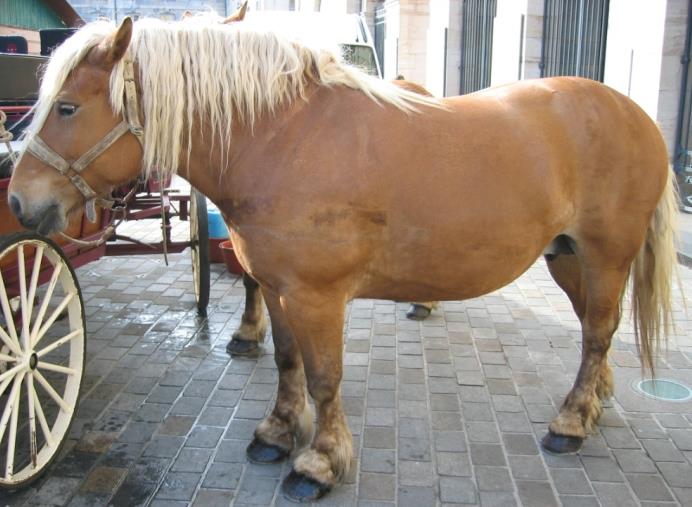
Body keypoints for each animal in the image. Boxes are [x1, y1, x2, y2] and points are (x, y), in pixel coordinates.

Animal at [8, 17, 678, 502]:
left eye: (67, 107)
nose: (19, 202)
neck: (281, 139)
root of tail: (634, 114)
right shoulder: (274, 287)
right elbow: (286, 362)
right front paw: (277, 434)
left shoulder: (317, 296)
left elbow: (325, 378)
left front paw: (320, 464)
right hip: (568, 258)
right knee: (595, 330)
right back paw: (594, 402)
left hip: (606, 255)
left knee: (598, 331)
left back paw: (570, 424)